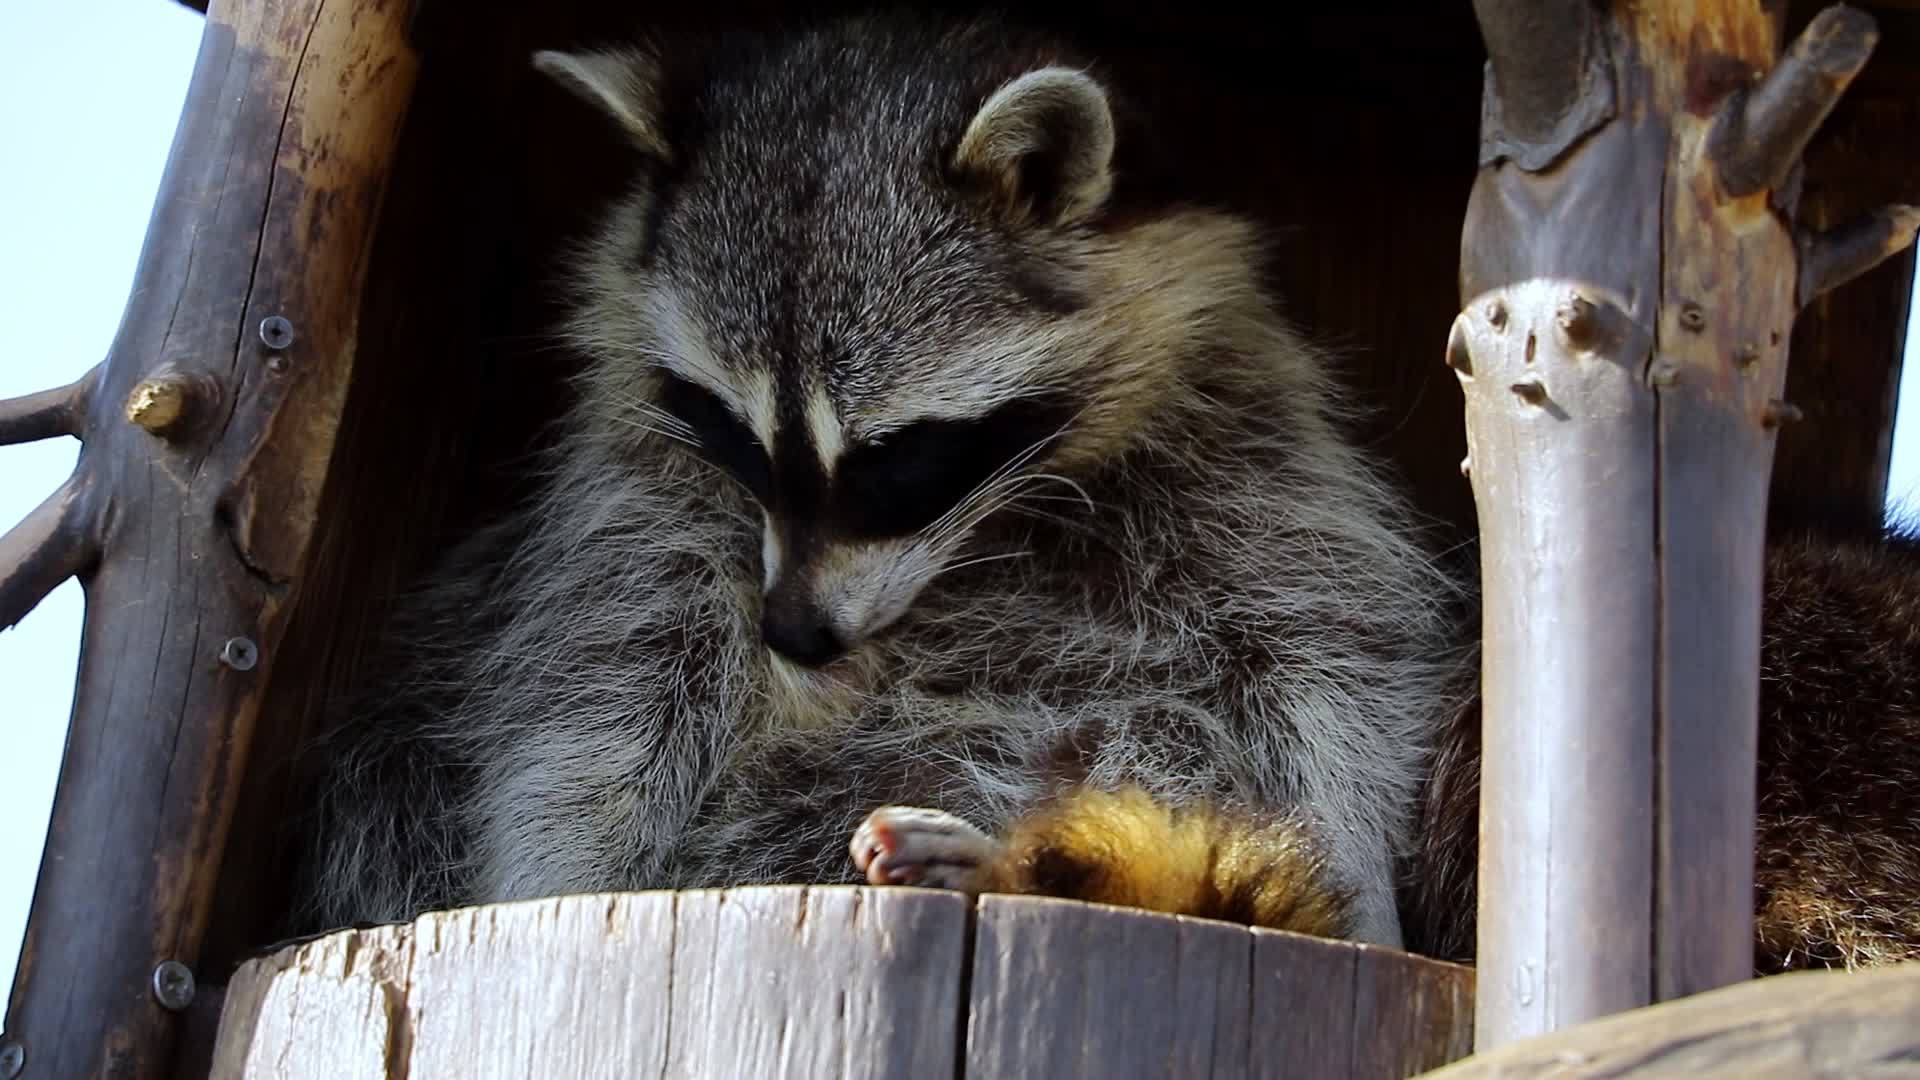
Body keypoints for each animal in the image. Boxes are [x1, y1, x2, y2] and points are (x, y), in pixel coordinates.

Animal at [295, 12, 1466, 945]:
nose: (794, 635)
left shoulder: (1245, 436)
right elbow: (598, 686)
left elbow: (1320, 652)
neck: (993, 531)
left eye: (896, 460)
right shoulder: (644, 496)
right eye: (729, 430)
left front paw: (1360, 880)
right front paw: (561, 880)